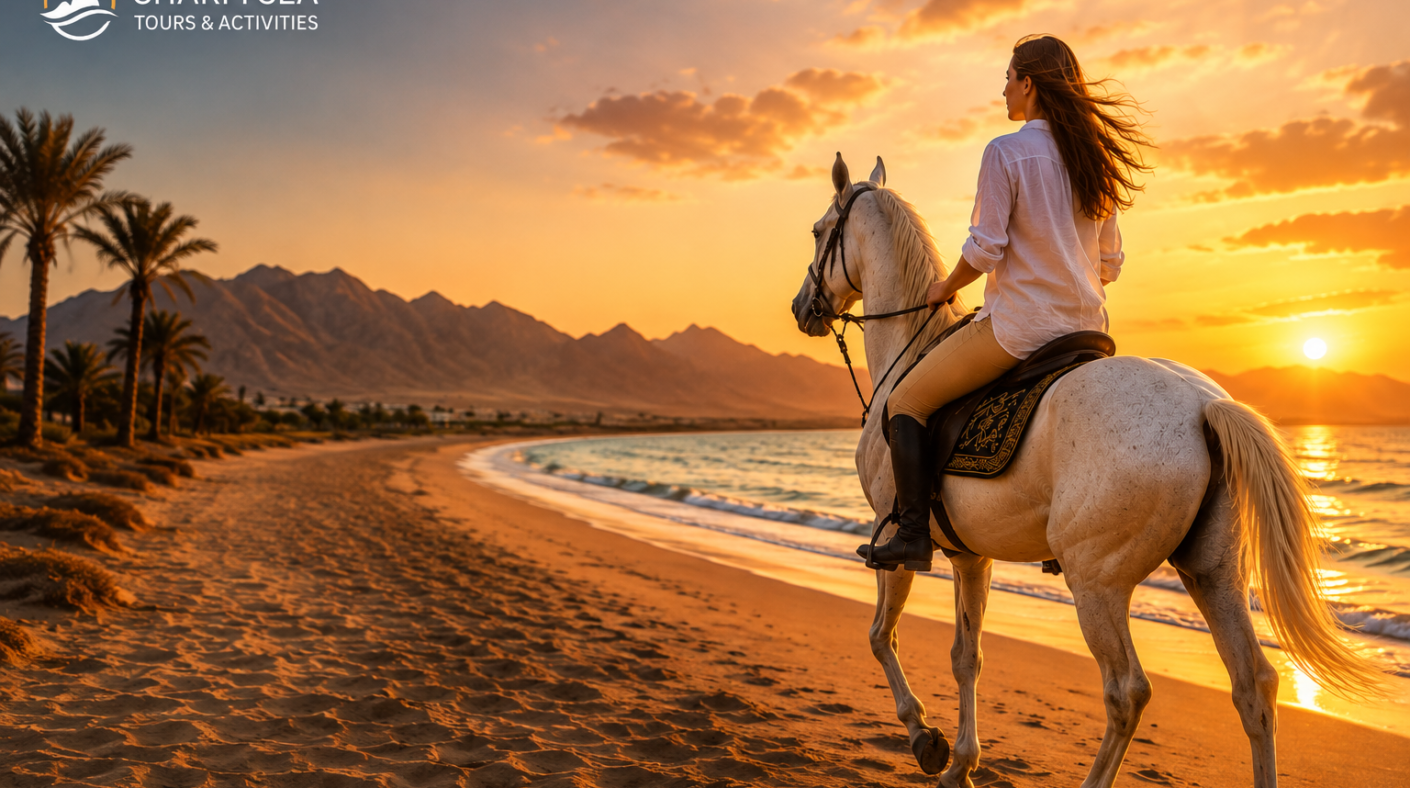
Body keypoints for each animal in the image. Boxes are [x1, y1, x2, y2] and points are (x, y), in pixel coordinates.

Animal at [789, 153, 1382, 788]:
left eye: (820, 231)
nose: (802, 308)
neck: (909, 350)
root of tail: (1201, 406)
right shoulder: (972, 558)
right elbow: (966, 657)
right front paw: (963, 764)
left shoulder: (897, 536)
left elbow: (881, 636)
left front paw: (928, 740)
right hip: (1212, 571)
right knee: (1255, 685)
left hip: (1096, 582)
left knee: (1127, 692)